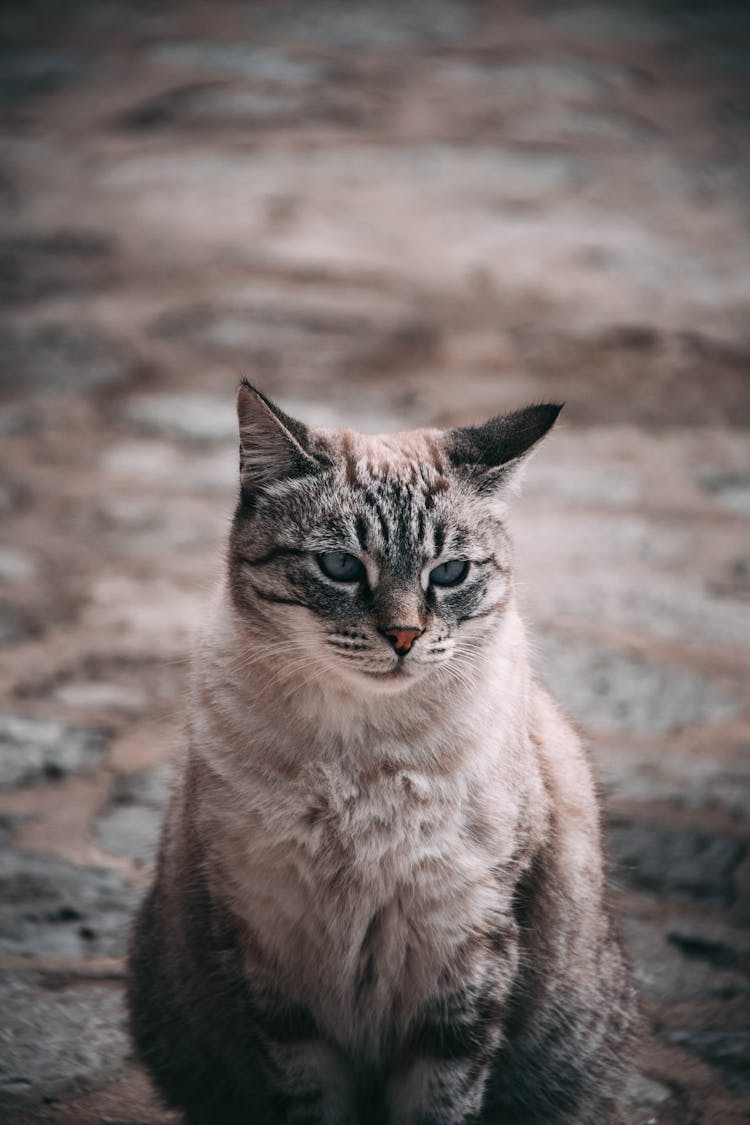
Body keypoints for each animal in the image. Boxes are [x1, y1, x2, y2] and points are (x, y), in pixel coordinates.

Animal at [125, 380, 638, 1125]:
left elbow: (441, 1099)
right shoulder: (275, 966)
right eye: (340, 566)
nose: (402, 637)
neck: (364, 755)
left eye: (449, 573)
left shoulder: (464, 962)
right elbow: (313, 1097)